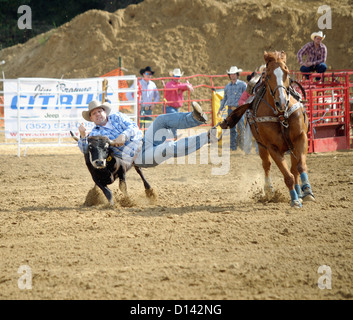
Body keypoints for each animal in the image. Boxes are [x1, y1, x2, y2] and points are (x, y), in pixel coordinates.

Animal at [220, 50, 314, 208]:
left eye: (286, 71)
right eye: (268, 75)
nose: (282, 102)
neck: (281, 115)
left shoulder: (300, 138)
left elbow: (300, 166)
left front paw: (307, 191)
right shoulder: (272, 147)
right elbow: (287, 175)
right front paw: (294, 199)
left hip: (291, 146)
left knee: (294, 168)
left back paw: (299, 191)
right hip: (261, 146)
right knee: (267, 165)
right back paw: (269, 190)